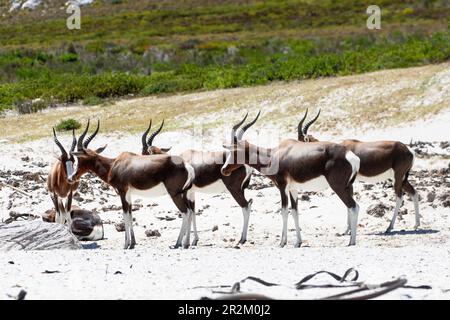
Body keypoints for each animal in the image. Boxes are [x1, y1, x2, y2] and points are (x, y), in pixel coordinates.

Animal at [69, 120, 196, 250]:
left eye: (80, 159)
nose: (72, 177)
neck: (114, 164)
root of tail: (186, 165)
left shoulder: (122, 192)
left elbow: (125, 215)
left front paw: (126, 244)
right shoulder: (128, 194)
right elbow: (130, 214)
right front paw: (133, 243)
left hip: (174, 194)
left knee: (186, 212)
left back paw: (179, 243)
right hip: (184, 193)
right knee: (191, 211)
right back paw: (185, 243)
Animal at [140, 117, 256, 245]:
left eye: (144, 153)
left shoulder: (184, 193)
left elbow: (188, 213)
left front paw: (185, 242)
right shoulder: (191, 193)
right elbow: (193, 212)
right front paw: (194, 241)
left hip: (234, 189)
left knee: (245, 206)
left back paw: (242, 239)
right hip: (241, 189)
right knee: (249, 203)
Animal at [220, 112, 360, 248]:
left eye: (234, 152)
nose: (224, 169)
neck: (275, 155)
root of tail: (350, 155)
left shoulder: (283, 187)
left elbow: (284, 211)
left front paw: (282, 242)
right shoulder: (293, 189)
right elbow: (294, 212)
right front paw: (298, 242)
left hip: (338, 187)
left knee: (353, 206)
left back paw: (352, 242)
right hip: (348, 187)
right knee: (354, 206)